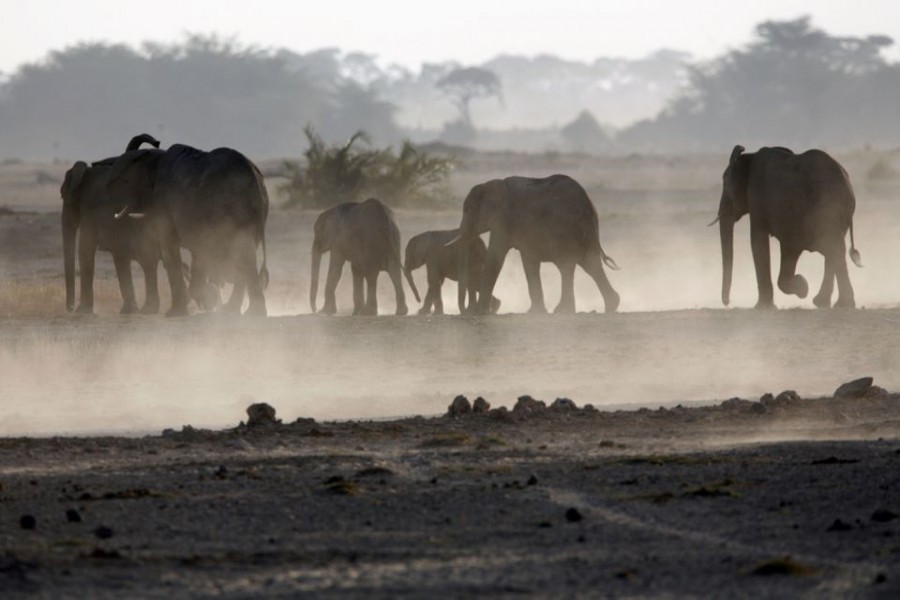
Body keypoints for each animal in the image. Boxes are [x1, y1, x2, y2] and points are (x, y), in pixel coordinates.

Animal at [61, 132, 163, 314]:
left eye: (63, 196)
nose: (70, 308)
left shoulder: (92, 211)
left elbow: (85, 248)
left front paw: (82, 312)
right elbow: (119, 256)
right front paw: (128, 311)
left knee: (147, 259)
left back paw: (149, 309)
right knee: (145, 260)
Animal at [104, 142, 268, 316]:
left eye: (124, 183)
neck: (156, 155)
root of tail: (253, 174)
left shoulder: (163, 204)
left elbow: (170, 252)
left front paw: (177, 312)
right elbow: (198, 255)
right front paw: (208, 299)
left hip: (228, 206)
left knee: (243, 253)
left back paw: (250, 313)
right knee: (244, 252)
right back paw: (235, 310)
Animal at [458, 173, 620, 314]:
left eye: (467, 210)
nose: (467, 311)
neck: (490, 185)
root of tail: (587, 203)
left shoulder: (503, 219)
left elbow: (495, 257)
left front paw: (480, 312)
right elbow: (529, 262)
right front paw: (535, 312)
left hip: (565, 232)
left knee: (567, 265)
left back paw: (563, 311)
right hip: (584, 233)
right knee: (590, 264)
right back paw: (611, 305)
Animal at [712, 143, 860, 308]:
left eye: (725, 184)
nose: (728, 302)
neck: (749, 157)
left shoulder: (757, 197)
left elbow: (758, 240)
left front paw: (763, 307)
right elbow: (789, 249)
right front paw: (803, 287)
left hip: (826, 209)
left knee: (833, 248)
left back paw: (837, 304)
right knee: (833, 249)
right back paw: (826, 303)